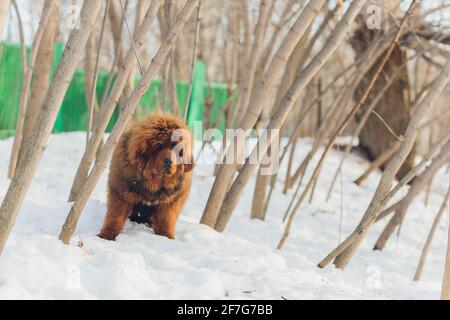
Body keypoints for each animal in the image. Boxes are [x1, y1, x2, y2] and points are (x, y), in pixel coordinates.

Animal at [98, 112, 193, 240]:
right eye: (159, 147)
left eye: (177, 149)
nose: (169, 161)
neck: (153, 183)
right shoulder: (120, 192)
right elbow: (115, 216)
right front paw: (107, 235)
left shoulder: (169, 202)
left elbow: (166, 221)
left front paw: (166, 238)